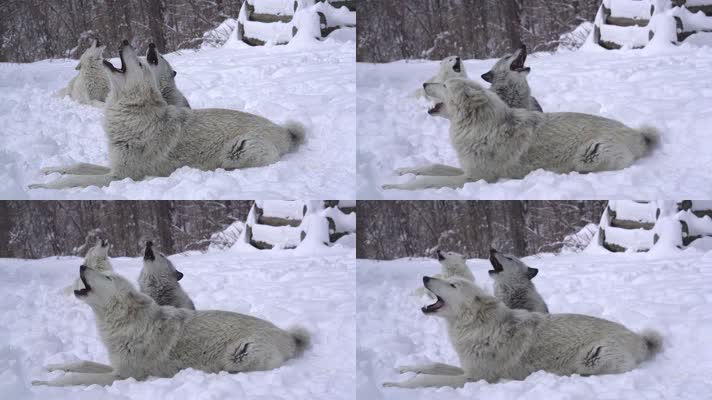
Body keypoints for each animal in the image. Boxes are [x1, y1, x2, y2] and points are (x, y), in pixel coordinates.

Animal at [30, 39, 304, 190]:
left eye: (141, 63)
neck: (129, 113)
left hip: (236, 153)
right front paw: (45, 172)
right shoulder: (113, 166)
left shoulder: (120, 176)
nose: (125, 41)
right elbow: (77, 165)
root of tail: (286, 132)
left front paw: (41, 186)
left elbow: (71, 181)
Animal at [33, 264, 310, 386]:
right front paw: (51, 367)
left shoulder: (123, 375)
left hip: (238, 357)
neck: (124, 323)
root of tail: (289, 336)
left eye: (108, 277)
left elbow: (77, 377)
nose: (82, 265)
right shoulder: (116, 366)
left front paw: (42, 384)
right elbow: (79, 363)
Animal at [384, 79, 660, 191]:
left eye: (443, 85)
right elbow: (430, 166)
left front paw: (396, 187)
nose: (423, 84)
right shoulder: (466, 168)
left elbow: (427, 181)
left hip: (588, 157)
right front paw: (400, 172)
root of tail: (637, 134)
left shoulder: (474, 178)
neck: (479, 126)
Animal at [384, 276, 660, 390]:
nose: (425, 277)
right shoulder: (466, 368)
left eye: (452, 285)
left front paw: (396, 385)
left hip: (592, 360)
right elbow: (430, 365)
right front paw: (402, 369)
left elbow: (426, 380)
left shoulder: (475, 378)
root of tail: (641, 340)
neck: (477, 327)